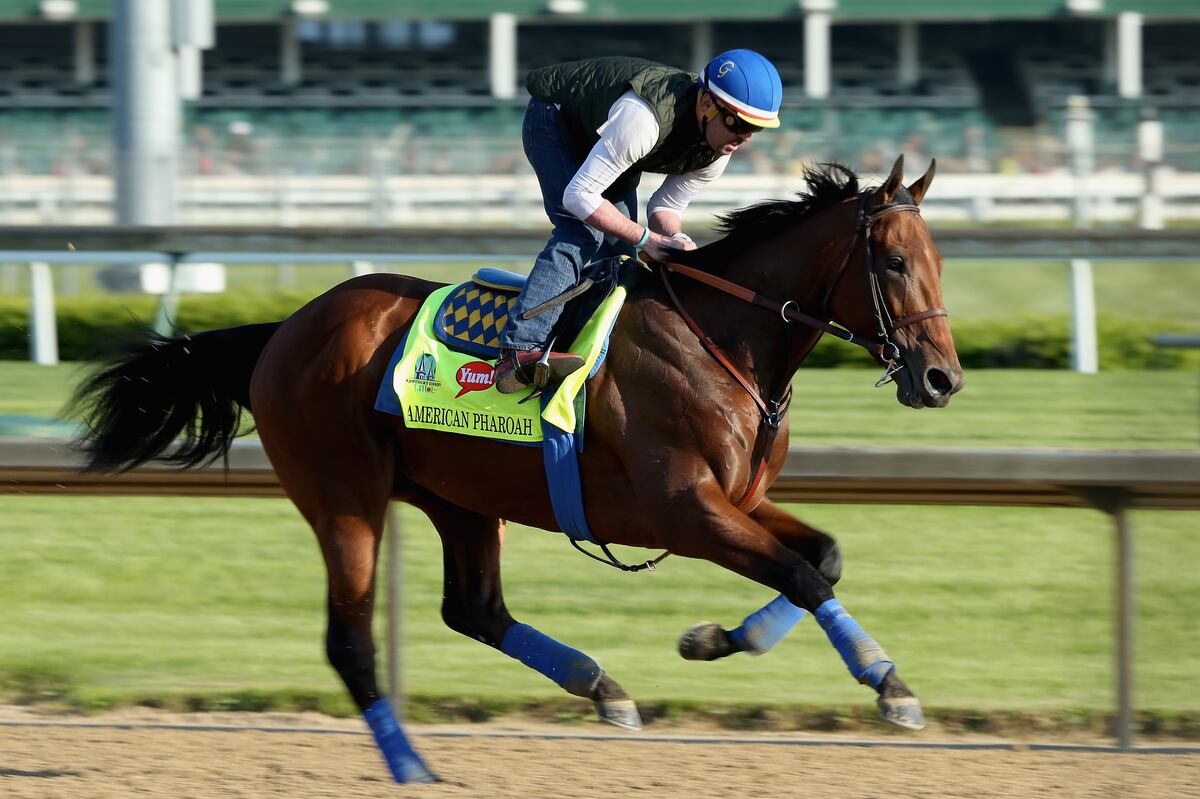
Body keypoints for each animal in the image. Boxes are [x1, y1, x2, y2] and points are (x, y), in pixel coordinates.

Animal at [71, 157, 963, 783]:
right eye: (890, 263)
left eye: (938, 260)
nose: (941, 378)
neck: (720, 340)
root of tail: (285, 328)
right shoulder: (684, 507)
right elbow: (801, 575)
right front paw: (890, 685)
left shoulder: (739, 499)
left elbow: (821, 559)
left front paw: (716, 638)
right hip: (343, 497)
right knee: (351, 639)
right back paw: (412, 768)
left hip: (459, 498)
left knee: (473, 608)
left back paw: (601, 686)